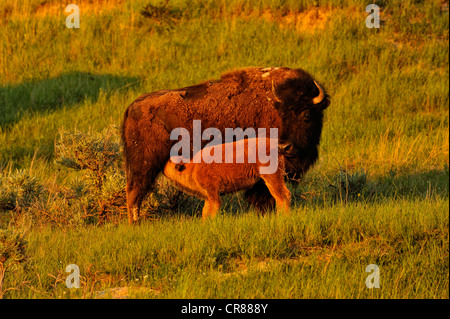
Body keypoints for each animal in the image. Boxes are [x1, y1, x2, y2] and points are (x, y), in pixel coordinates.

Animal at [162, 138, 292, 220]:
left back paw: (282, 217)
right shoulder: (208, 196)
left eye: (169, 162)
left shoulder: (213, 192)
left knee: (282, 196)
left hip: (272, 177)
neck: (192, 167)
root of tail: (277, 146)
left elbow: (213, 209)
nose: (165, 161)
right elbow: (205, 212)